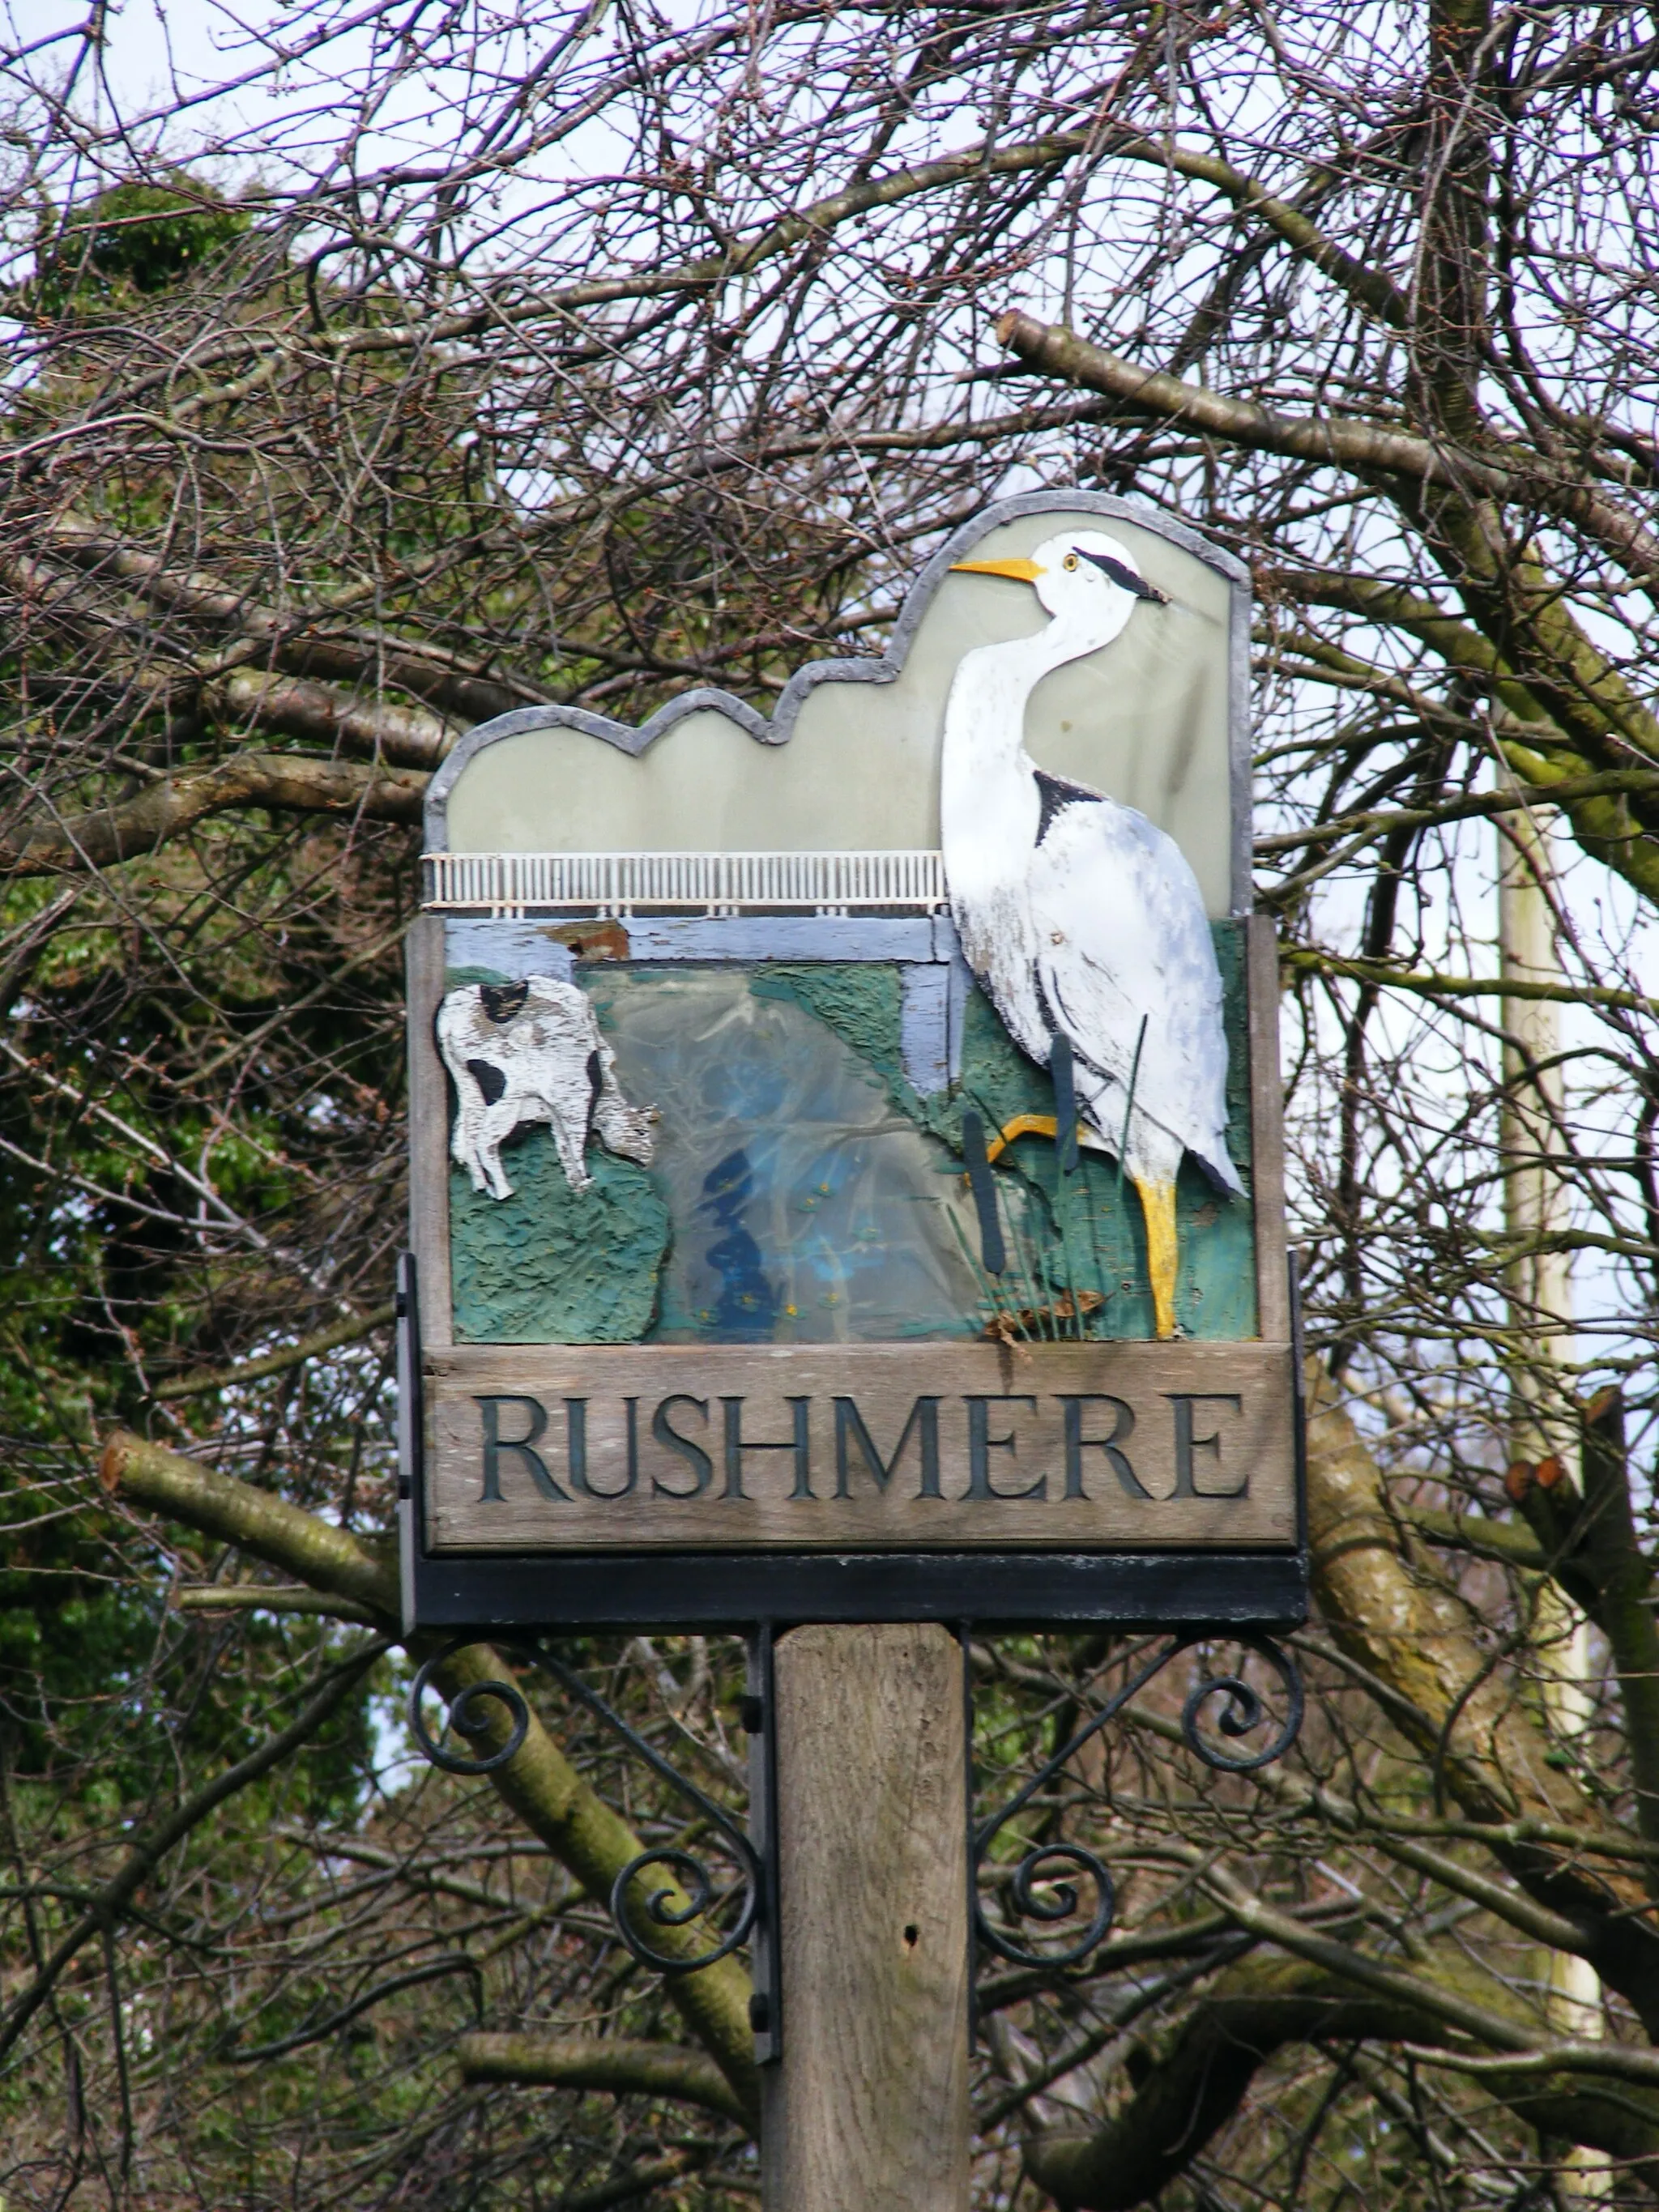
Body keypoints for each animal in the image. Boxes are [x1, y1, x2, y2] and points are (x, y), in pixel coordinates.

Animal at [437, 978, 659, 1203]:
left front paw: (576, 1184)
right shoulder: (574, 1097)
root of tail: (448, 1015)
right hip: (506, 1092)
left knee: (467, 1139)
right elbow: (576, 1141)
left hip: (469, 1086)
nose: (649, 1159)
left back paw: (484, 1187)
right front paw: (583, 1182)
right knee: (483, 1142)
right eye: (640, 1132)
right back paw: (504, 1192)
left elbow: (563, 1143)